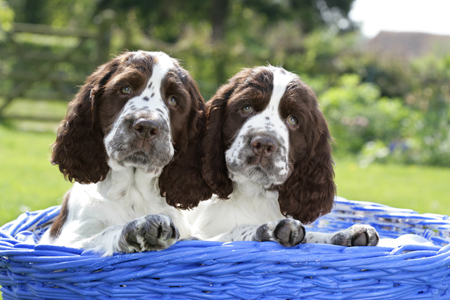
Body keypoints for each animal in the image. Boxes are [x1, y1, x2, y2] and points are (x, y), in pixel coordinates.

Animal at [39, 51, 212, 255]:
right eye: (126, 89)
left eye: (174, 100)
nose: (146, 127)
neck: (132, 189)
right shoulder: (67, 242)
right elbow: (103, 234)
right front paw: (139, 230)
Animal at [190, 67, 380, 247]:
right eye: (246, 108)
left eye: (293, 120)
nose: (263, 143)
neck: (255, 193)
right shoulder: (197, 237)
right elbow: (236, 230)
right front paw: (270, 229)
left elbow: (312, 236)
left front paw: (345, 234)